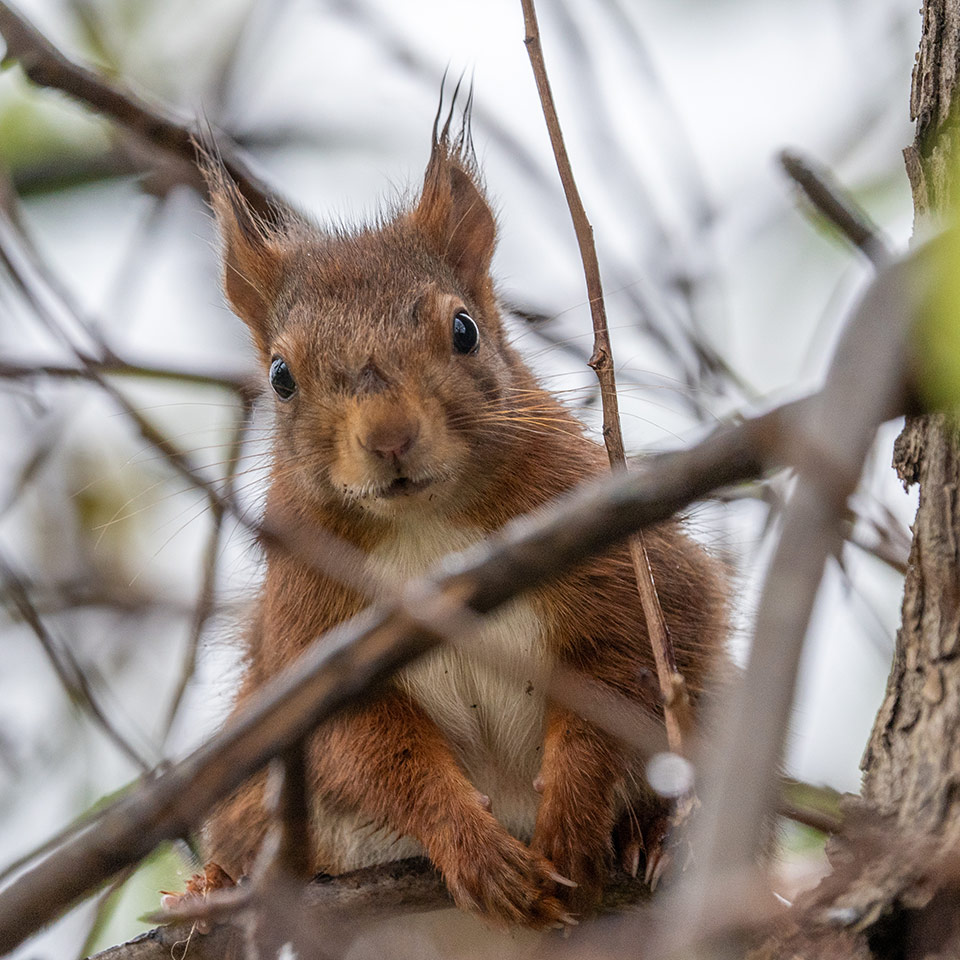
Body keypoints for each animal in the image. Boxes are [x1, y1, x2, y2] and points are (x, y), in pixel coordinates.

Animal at [191, 99, 724, 928]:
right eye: (280, 376)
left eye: (464, 329)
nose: (389, 438)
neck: (426, 528)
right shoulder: (307, 636)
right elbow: (376, 751)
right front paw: (474, 850)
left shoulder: (624, 568)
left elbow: (621, 671)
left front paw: (571, 823)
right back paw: (213, 887)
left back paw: (656, 836)